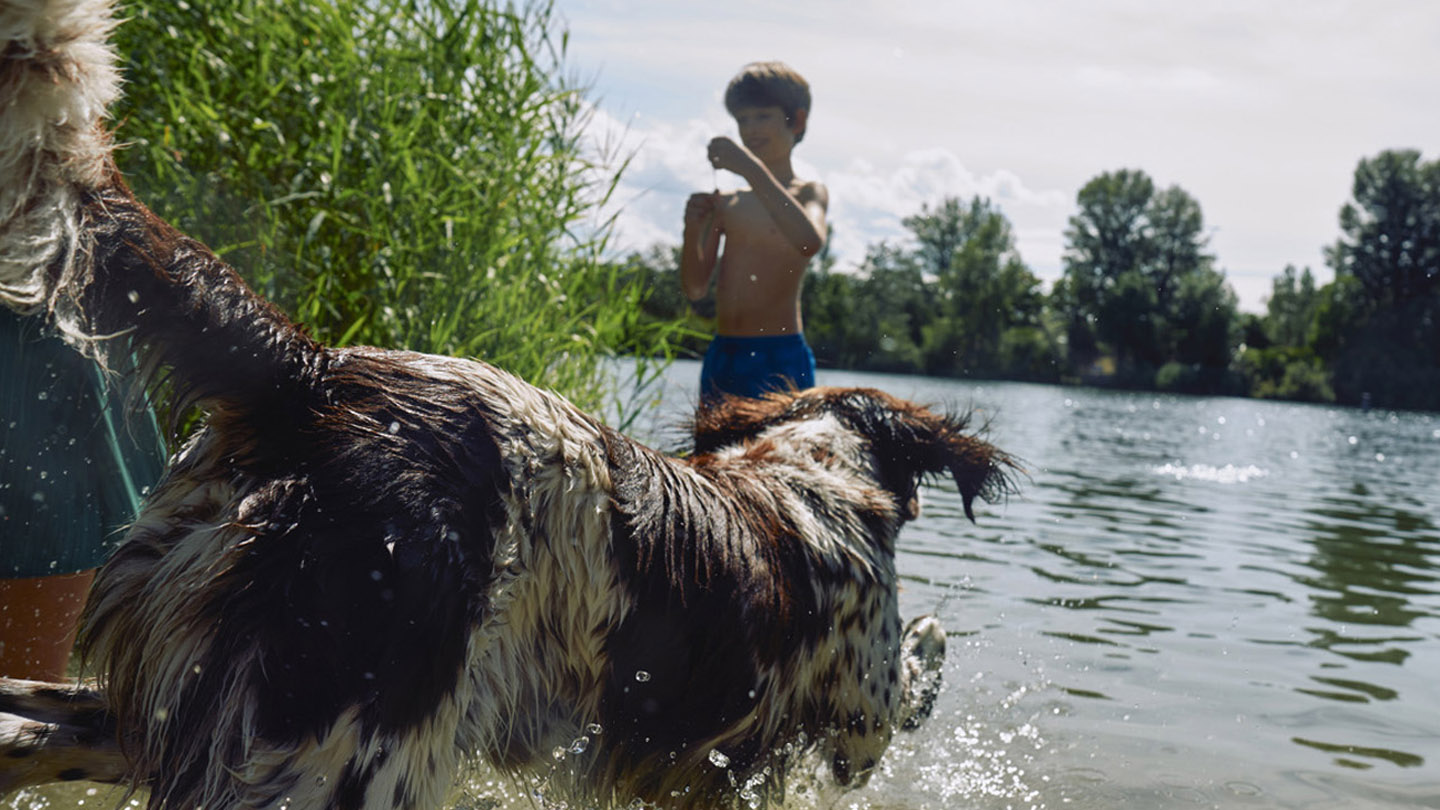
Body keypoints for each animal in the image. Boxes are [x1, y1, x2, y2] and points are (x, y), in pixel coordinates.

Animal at [0, 3, 1013, 801]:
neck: (810, 478)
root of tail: (312, 374)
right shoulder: (856, 719)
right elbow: (917, 659)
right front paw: (933, 634)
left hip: (177, 705)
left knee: (29, 728)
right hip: (349, 746)